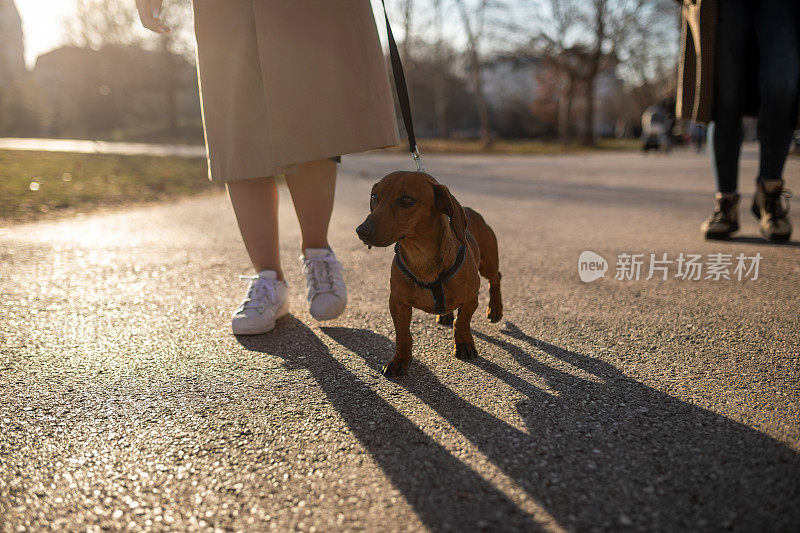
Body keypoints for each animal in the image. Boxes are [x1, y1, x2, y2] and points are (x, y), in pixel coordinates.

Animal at [354, 170, 500, 374]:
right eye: (374, 196)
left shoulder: (471, 298)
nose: (361, 231)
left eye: (407, 200)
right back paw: (446, 315)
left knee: (496, 279)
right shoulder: (397, 303)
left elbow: (462, 322)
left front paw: (463, 344)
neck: (421, 256)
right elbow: (403, 335)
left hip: (488, 264)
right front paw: (400, 360)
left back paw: (495, 309)